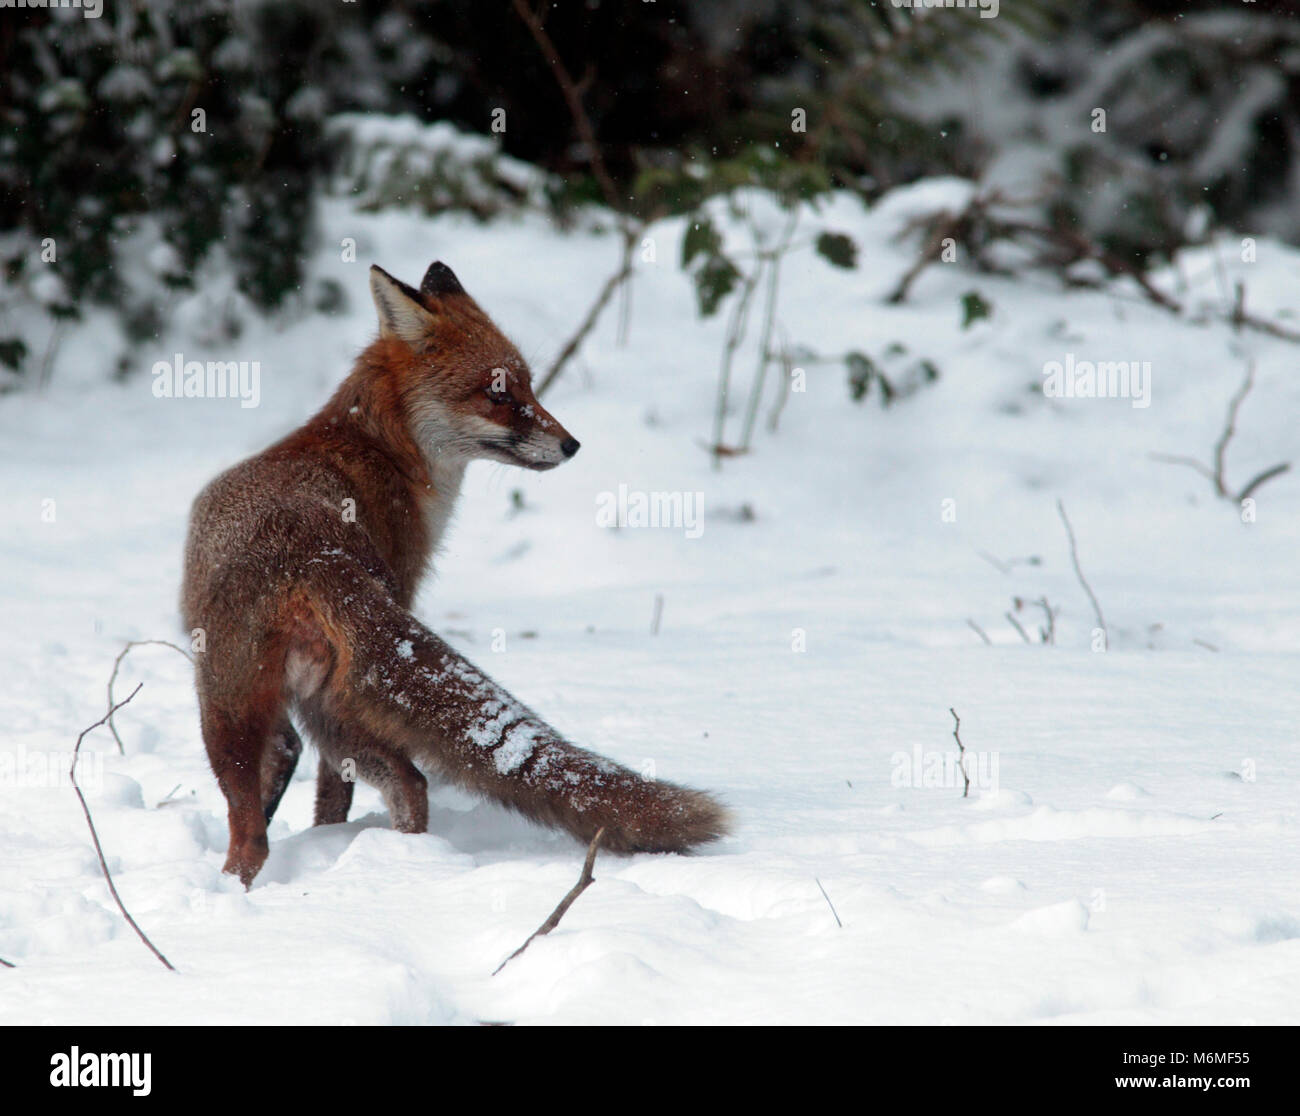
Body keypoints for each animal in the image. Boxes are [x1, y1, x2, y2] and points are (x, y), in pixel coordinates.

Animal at [183, 265, 733, 884]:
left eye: (529, 386)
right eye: (497, 392)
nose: (572, 444)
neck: (380, 450)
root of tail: (316, 554)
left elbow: (310, 784)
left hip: (271, 708)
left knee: (302, 810)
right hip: (296, 704)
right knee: (373, 787)